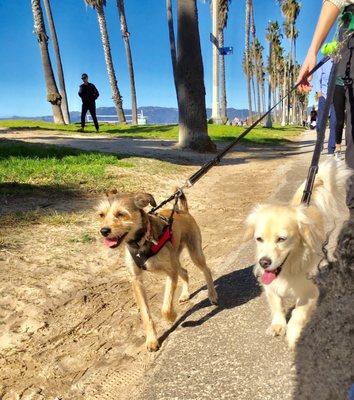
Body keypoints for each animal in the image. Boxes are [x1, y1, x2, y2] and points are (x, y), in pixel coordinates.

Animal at [97, 191, 218, 350]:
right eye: (101, 215)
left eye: (121, 214)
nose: (104, 231)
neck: (141, 243)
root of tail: (184, 211)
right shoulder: (136, 280)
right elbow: (145, 314)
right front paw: (151, 340)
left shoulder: (170, 273)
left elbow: (165, 307)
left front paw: (171, 316)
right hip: (176, 260)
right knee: (185, 272)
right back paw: (185, 294)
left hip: (194, 253)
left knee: (207, 271)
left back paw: (212, 295)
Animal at [245, 159, 350, 346]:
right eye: (259, 239)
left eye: (281, 239)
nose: (264, 262)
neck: (287, 270)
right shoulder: (270, 287)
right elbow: (276, 306)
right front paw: (278, 325)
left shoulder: (310, 292)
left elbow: (297, 315)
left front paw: (294, 336)